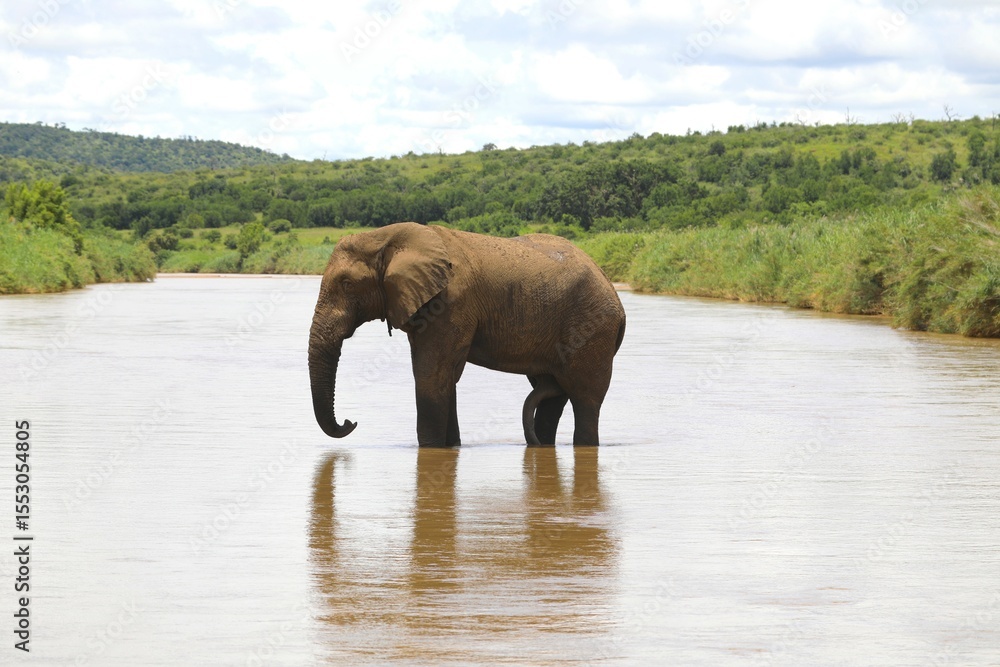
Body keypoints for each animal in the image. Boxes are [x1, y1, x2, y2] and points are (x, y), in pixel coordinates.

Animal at [308, 222, 626, 447]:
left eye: (347, 284)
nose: (350, 422)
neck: (384, 236)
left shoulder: (449, 303)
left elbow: (431, 375)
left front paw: (431, 449)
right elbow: (444, 377)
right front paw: (451, 447)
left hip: (592, 329)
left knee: (585, 400)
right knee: (551, 394)